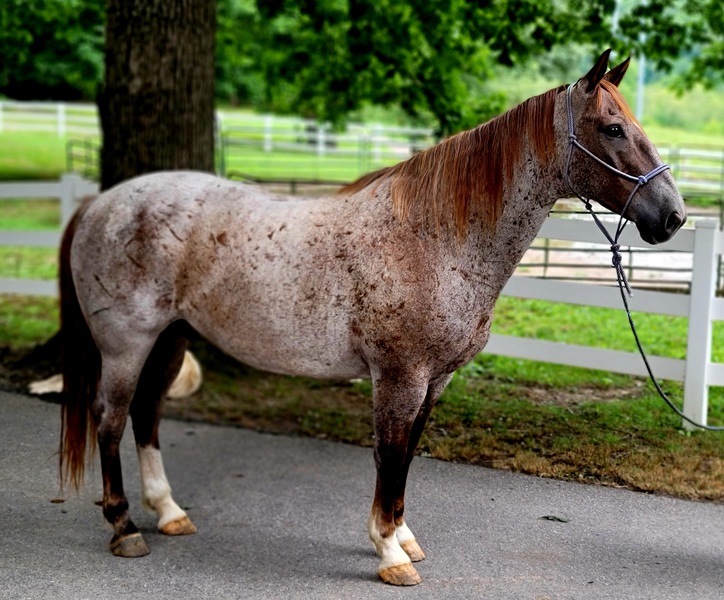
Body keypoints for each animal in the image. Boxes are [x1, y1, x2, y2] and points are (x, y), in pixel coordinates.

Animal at [58, 51, 684, 584]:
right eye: (612, 128)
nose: (674, 216)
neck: (434, 240)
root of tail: (101, 203)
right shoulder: (399, 378)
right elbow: (388, 455)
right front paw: (388, 552)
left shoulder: (435, 382)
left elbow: (406, 456)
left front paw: (402, 537)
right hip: (126, 344)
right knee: (110, 420)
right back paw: (124, 527)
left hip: (171, 338)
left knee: (147, 414)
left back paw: (168, 512)